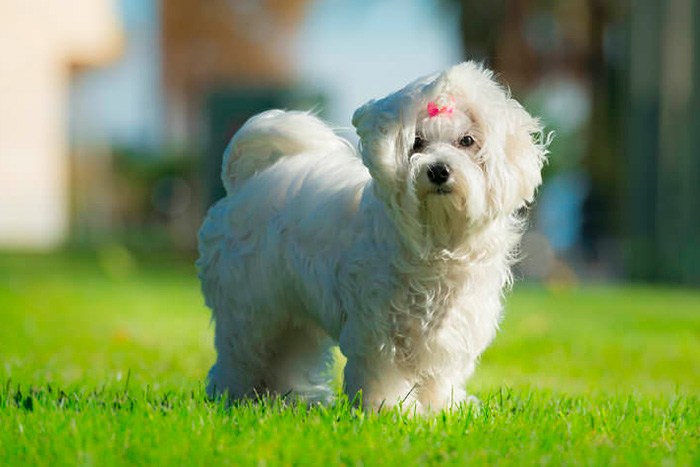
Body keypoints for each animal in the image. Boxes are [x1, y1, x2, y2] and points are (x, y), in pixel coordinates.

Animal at [196, 61, 548, 414]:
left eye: (467, 140)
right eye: (417, 142)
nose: (438, 170)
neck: (437, 237)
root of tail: (245, 183)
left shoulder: (452, 327)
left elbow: (439, 375)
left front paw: (442, 408)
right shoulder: (379, 327)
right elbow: (384, 371)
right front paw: (392, 411)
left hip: (290, 311)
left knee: (290, 353)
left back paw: (292, 400)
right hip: (251, 308)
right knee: (242, 355)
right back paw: (236, 399)